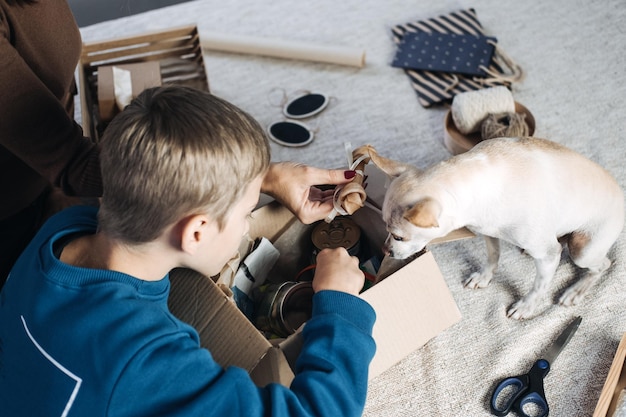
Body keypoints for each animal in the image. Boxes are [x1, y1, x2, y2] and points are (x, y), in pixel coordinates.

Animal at [354, 137, 620, 318]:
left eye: (398, 237)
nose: (385, 251)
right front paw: (484, 277)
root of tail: (622, 193)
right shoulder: (489, 232)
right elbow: (493, 256)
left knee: (603, 265)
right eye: (386, 230)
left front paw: (526, 306)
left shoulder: (548, 255)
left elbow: (538, 286)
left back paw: (576, 290)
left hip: (582, 250)